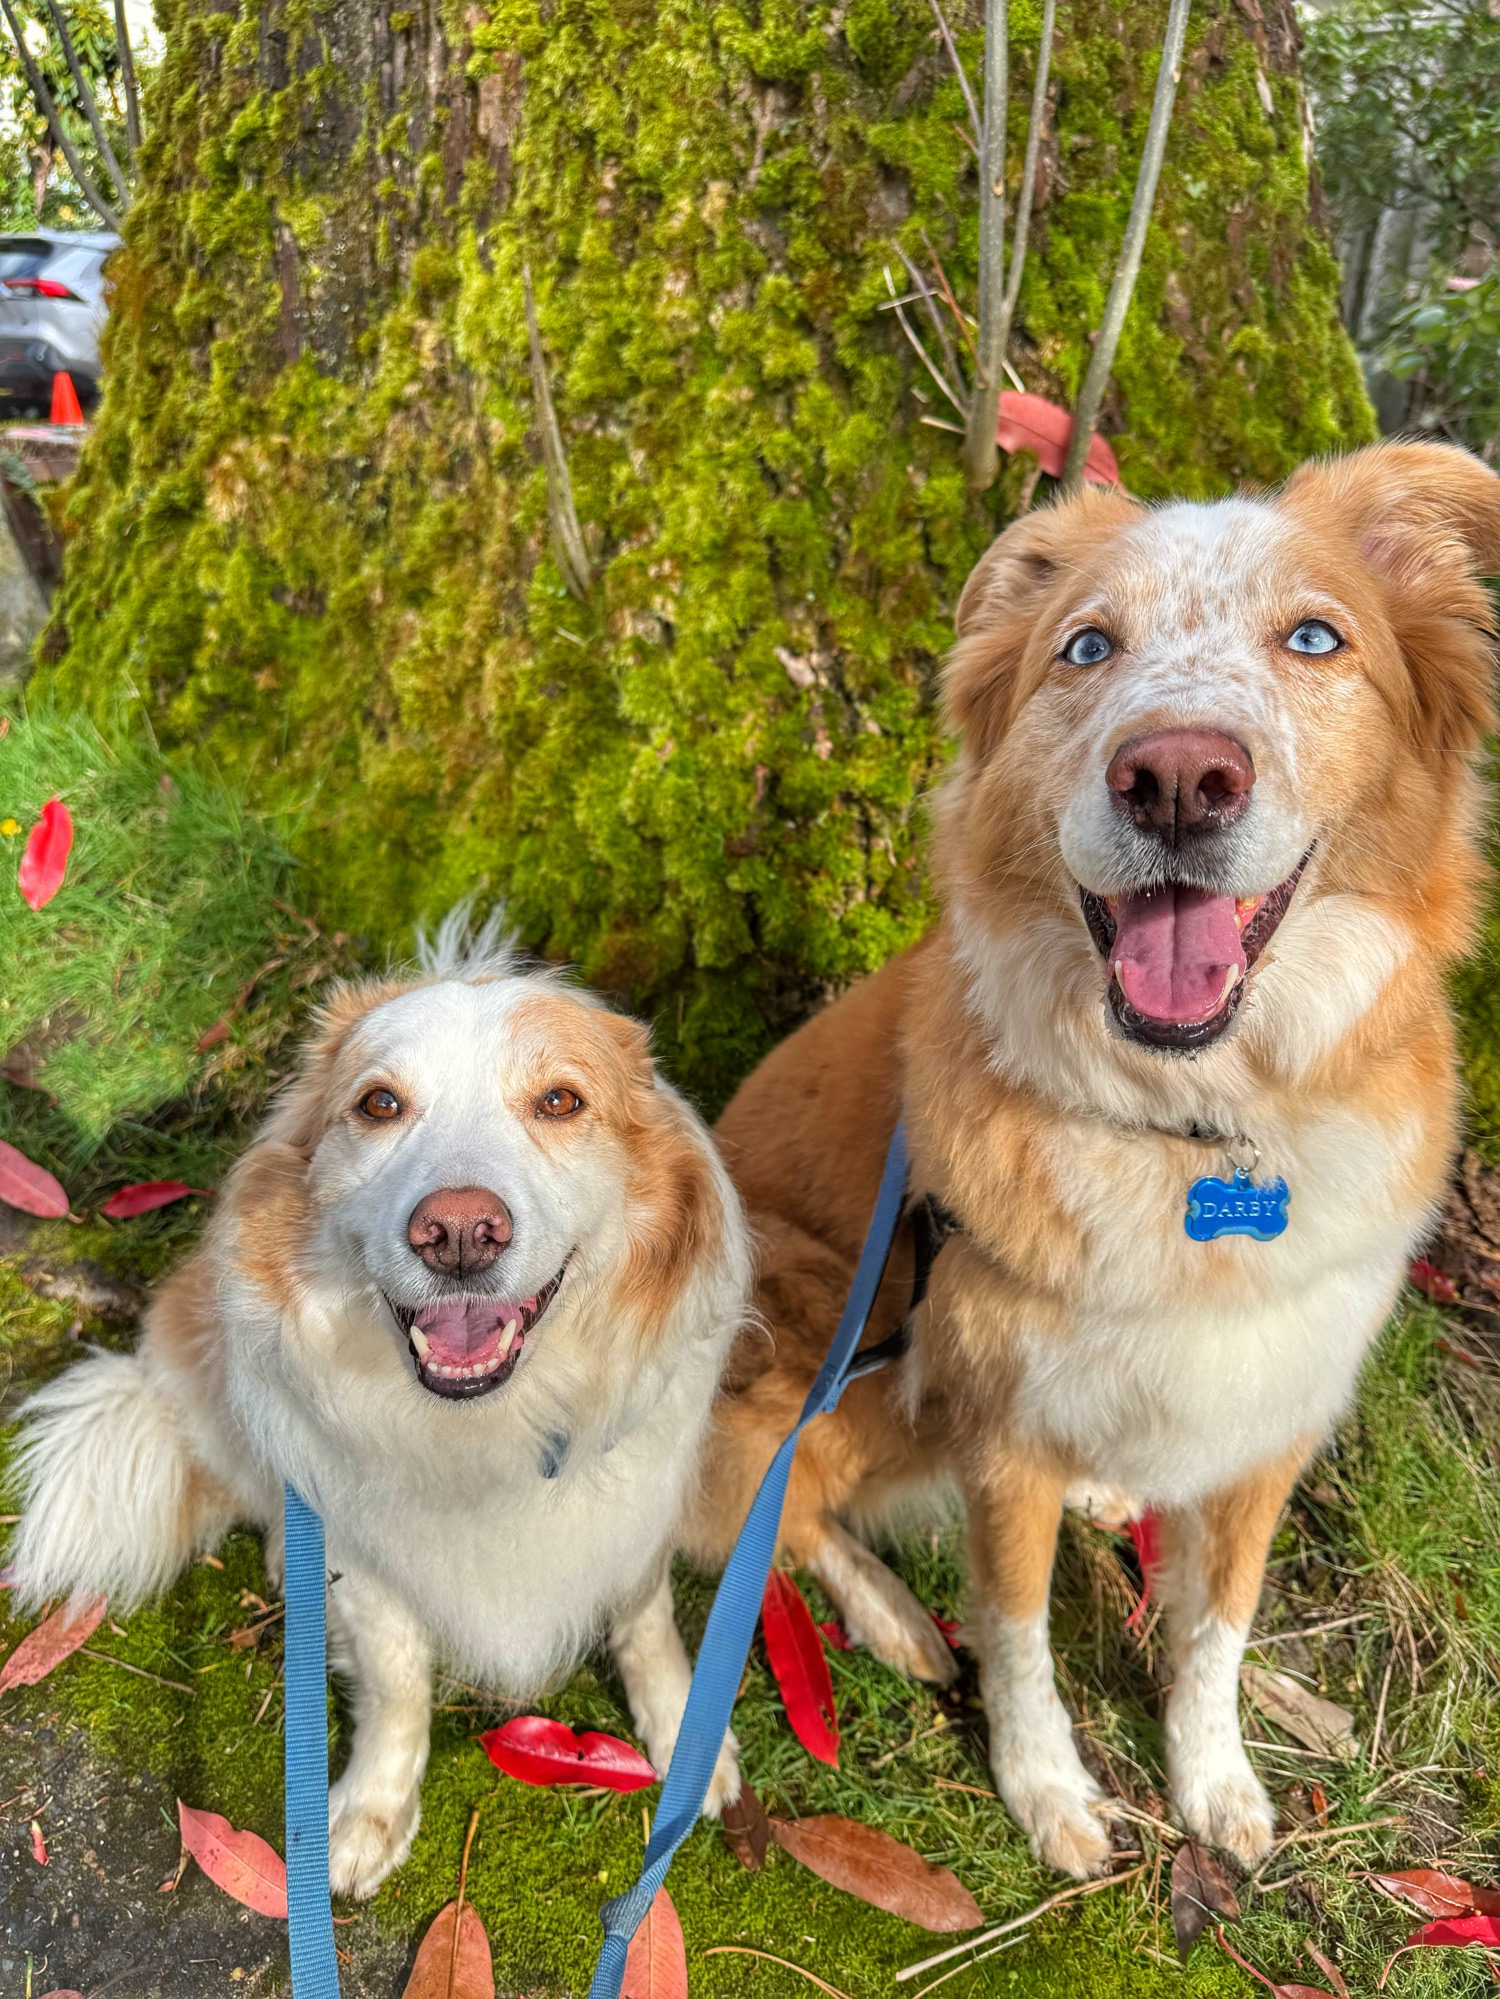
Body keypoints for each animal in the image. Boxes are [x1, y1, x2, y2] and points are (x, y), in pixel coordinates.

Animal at [9, 914, 749, 1896]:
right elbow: (398, 1686)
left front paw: (684, 1737)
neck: (484, 1430)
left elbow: (647, 1625)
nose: (460, 1231)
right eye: (379, 1105)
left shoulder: (636, 1514)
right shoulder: (367, 1561)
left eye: (560, 1100)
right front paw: (371, 1810)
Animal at [683, 441, 1500, 1878]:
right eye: (1086, 646)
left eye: (1315, 637)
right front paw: (1047, 1787)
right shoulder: (1002, 1438)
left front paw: (1213, 1775)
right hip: (811, 1308)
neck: (1194, 1127)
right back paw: (890, 1611)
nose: (1176, 776)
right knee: (774, 1506)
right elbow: (1017, 1638)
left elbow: (1219, 1626)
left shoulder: (1272, 1419)